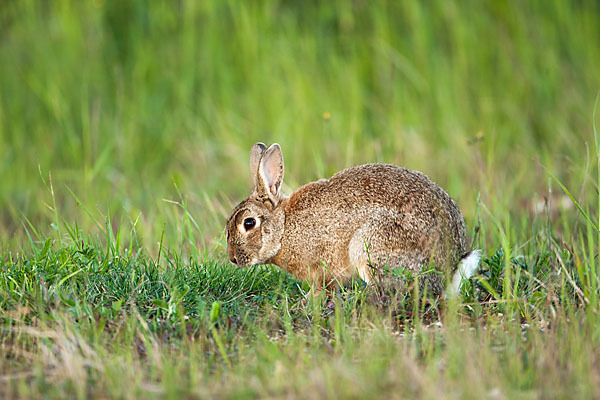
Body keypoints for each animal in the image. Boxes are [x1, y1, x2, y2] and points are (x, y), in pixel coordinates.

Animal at [226, 141, 482, 296]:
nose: (233, 260)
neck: (284, 228)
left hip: (370, 243)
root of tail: (448, 272)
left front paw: (308, 300)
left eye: (249, 223)